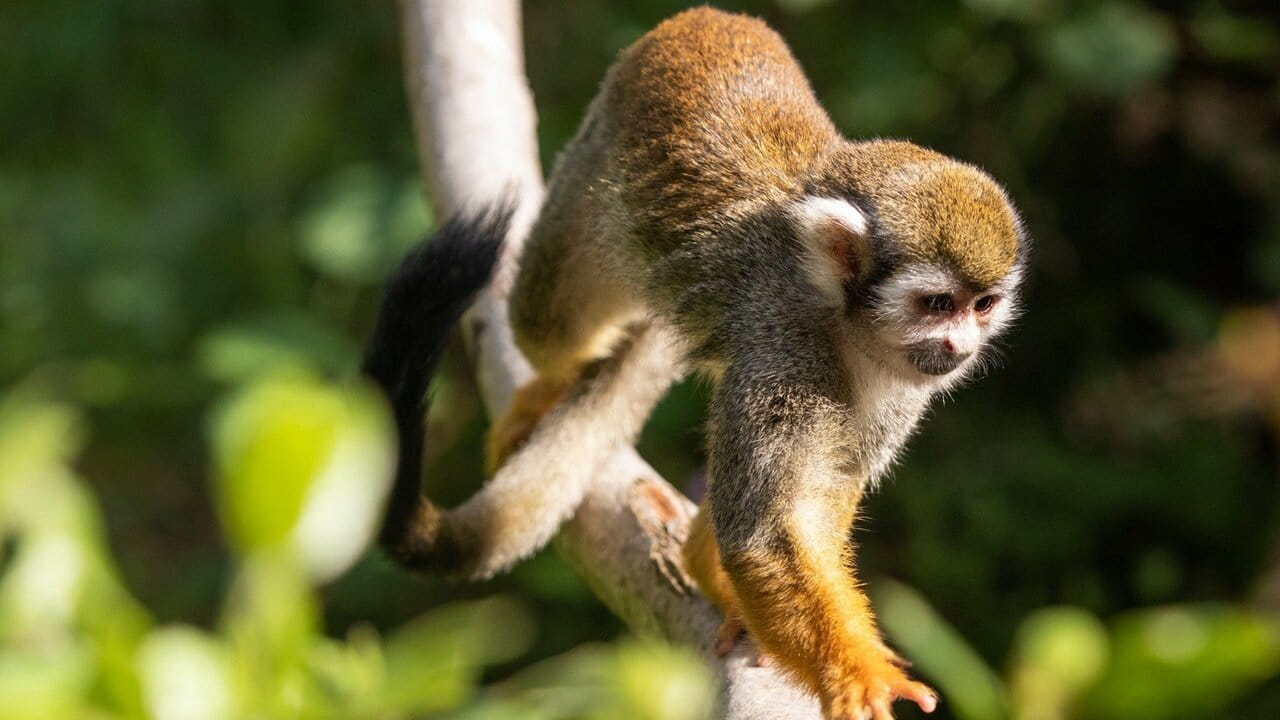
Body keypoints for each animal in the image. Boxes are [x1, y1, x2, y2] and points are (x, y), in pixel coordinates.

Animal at [367, 8, 1026, 720]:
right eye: (937, 304)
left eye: (982, 305)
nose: (959, 347)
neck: (845, 329)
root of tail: (705, 15)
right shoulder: (782, 348)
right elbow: (764, 534)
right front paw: (859, 673)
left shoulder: (903, 390)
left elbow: (818, 498)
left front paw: (715, 572)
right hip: (591, 172)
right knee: (542, 322)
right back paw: (552, 383)